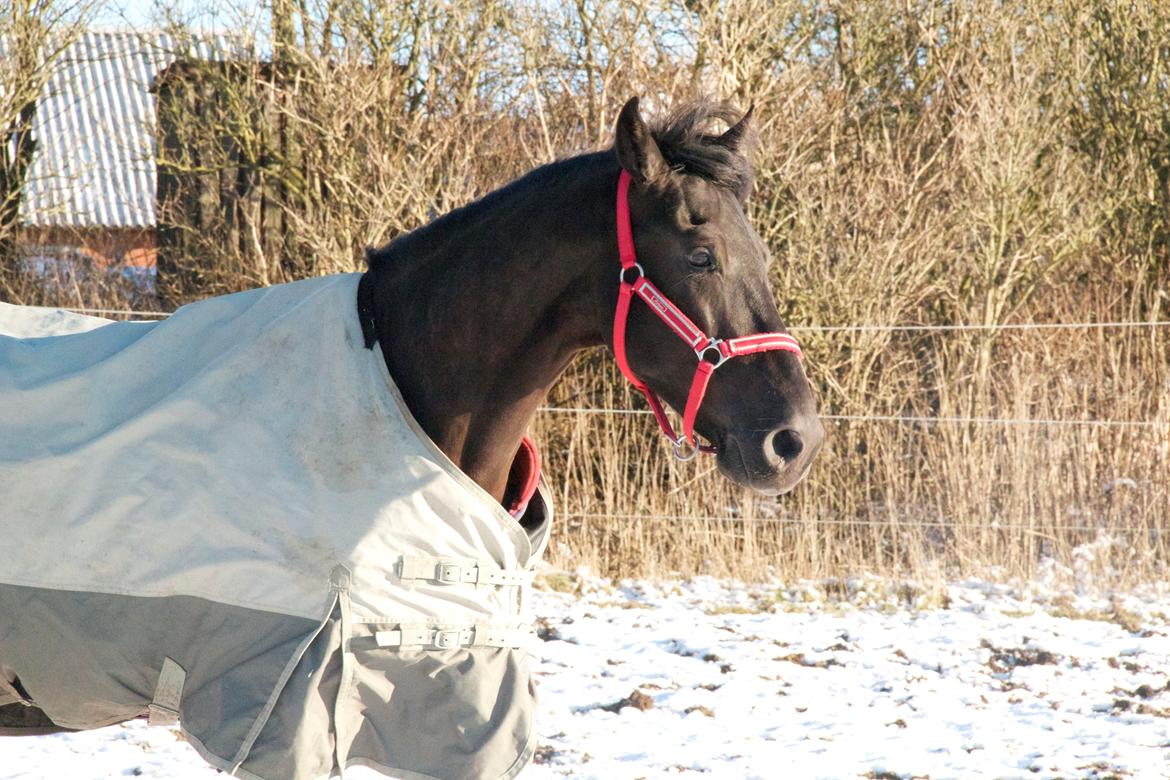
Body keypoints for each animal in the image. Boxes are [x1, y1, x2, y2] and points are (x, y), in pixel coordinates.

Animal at [2, 97, 823, 780]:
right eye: (700, 257)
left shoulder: (457, 699)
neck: (392, 384)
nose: (794, 440)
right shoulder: (287, 717)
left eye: (764, 256)